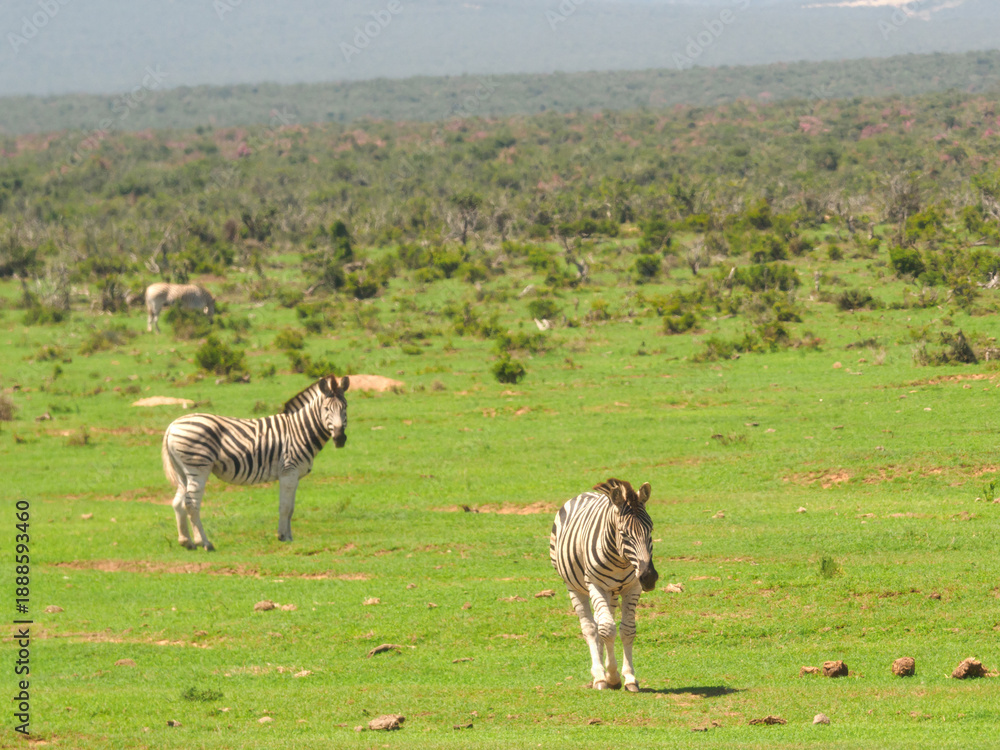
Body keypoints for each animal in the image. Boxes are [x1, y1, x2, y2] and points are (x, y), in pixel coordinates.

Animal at [161, 375, 349, 550]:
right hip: (198, 467)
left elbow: (291, 508)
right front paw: (283, 536)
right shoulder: (288, 471)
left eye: (345, 407)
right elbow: (285, 507)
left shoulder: (295, 476)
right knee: (191, 503)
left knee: (178, 503)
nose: (340, 439)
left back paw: (186, 542)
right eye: (326, 409)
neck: (299, 430)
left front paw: (288, 536)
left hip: (182, 471)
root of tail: (172, 425)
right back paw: (205, 542)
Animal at [550, 478, 658, 692]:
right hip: (575, 587)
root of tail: (584, 494)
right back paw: (599, 675)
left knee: (602, 623)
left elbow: (626, 630)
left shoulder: (633, 587)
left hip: (612, 592)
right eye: (624, 534)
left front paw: (629, 678)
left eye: (650, 529)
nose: (649, 577)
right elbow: (606, 630)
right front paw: (611, 676)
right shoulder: (596, 585)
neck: (621, 560)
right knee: (591, 628)